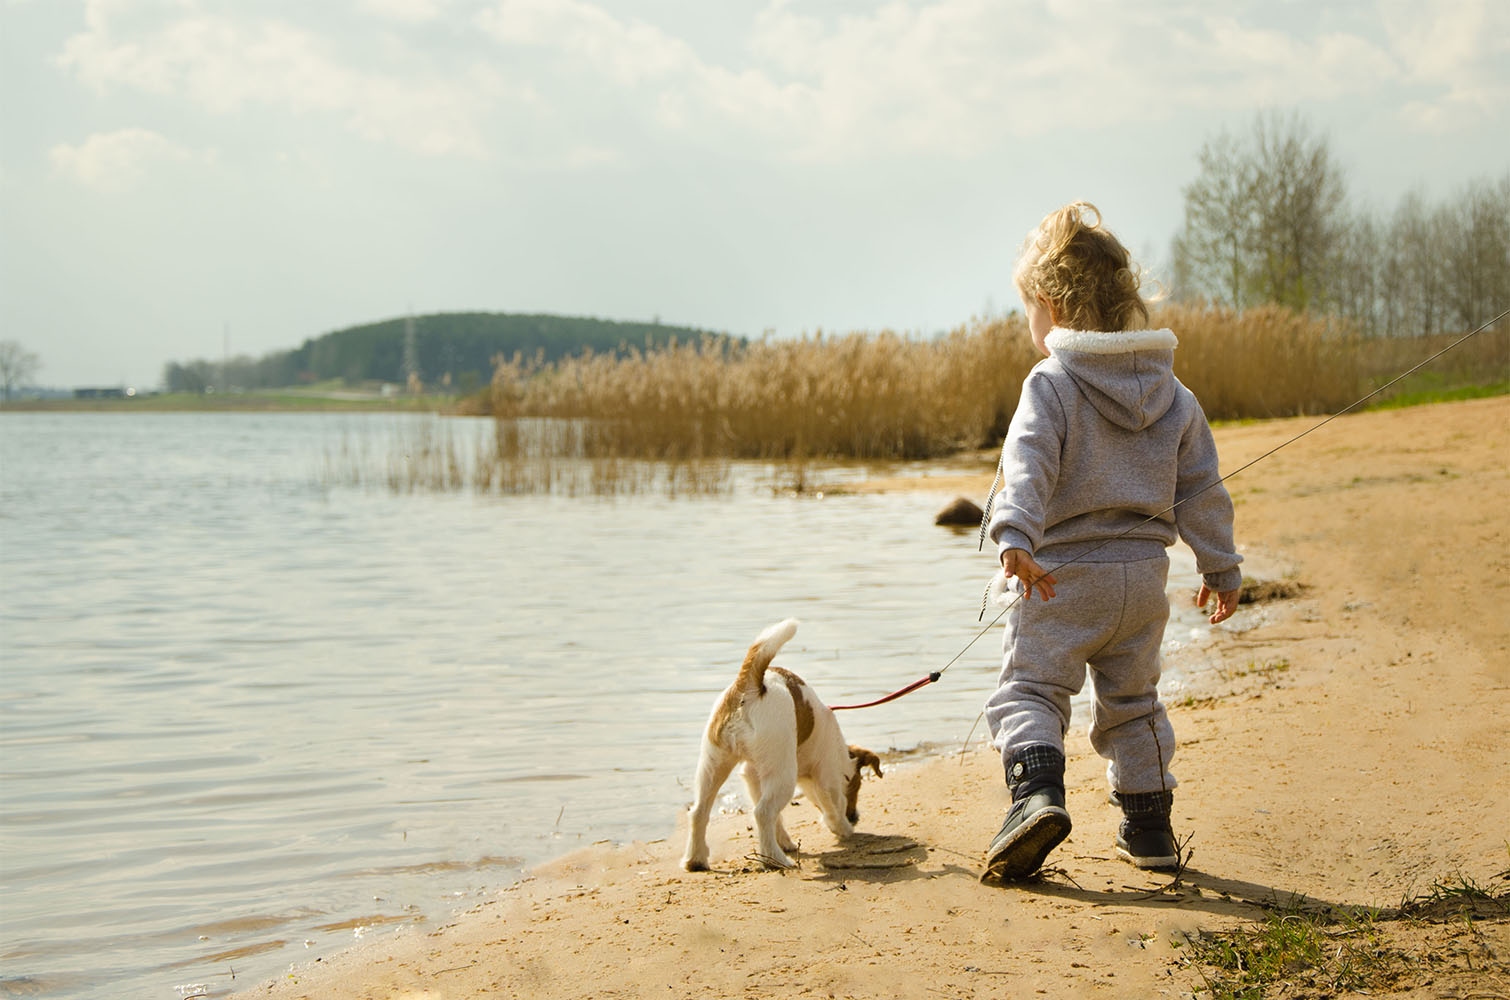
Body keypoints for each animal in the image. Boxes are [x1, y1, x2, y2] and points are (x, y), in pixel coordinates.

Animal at [679, 619, 881, 870]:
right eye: (857, 786)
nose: (855, 817)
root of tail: (750, 687)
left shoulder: (752, 775)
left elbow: (777, 818)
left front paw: (785, 840)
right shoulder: (827, 777)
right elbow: (832, 805)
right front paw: (842, 828)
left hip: (713, 764)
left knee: (699, 812)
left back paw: (695, 859)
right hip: (783, 775)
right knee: (763, 812)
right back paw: (774, 859)